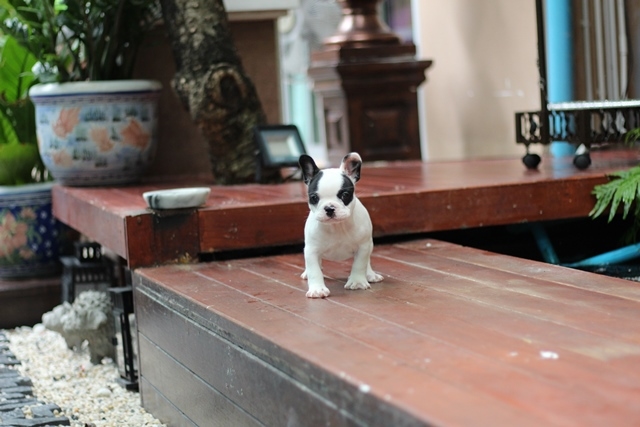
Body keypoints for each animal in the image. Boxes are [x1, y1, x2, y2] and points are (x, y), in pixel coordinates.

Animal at [299, 152, 383, 298]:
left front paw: (357, 282)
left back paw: (370, 274)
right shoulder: (311, 250)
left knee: (367, 261)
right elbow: (314, 271)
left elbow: (359, 264)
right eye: (314, 197)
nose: (329, 208)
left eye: (345, 195)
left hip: (369, 245)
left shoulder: (363, 247)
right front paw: (317, 289)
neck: (336, 226)